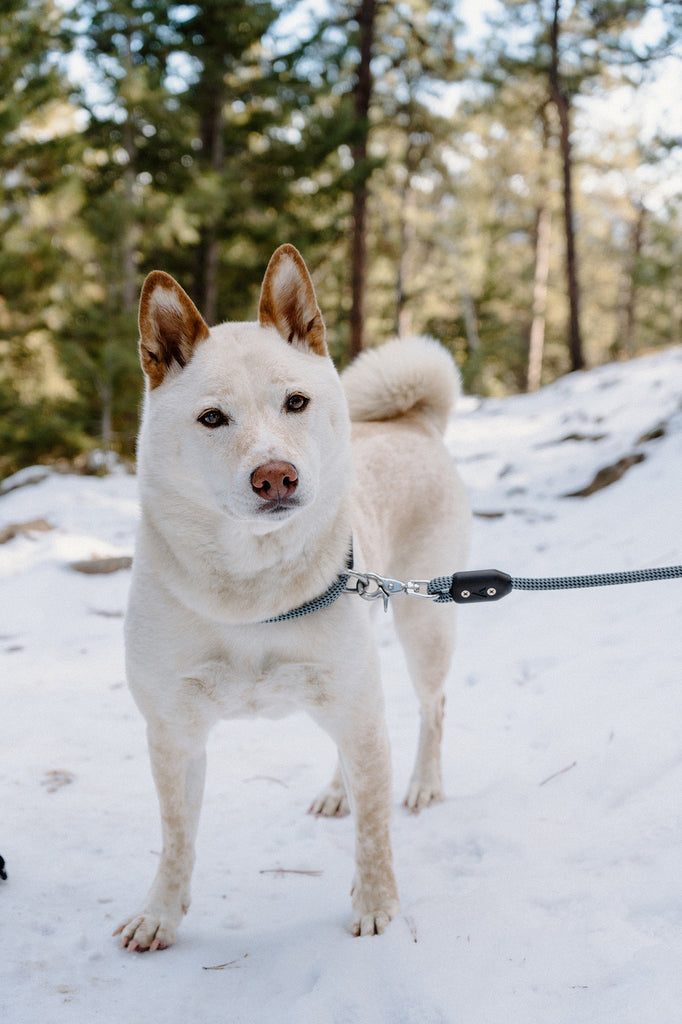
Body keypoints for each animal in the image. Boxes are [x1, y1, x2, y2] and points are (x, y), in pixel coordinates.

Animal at [115, 243, 466, 946]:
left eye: (296, 402)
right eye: (212, 417)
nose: (275, 476)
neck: (252, 596)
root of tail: (412, 423)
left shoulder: (358, 707)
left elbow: (375, 833)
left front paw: (377, 905)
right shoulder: (173, 731)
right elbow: (175, 838)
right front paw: (160, 914)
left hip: (422, 628)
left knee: (430, 712)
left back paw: (421, 784)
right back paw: (339, 790)